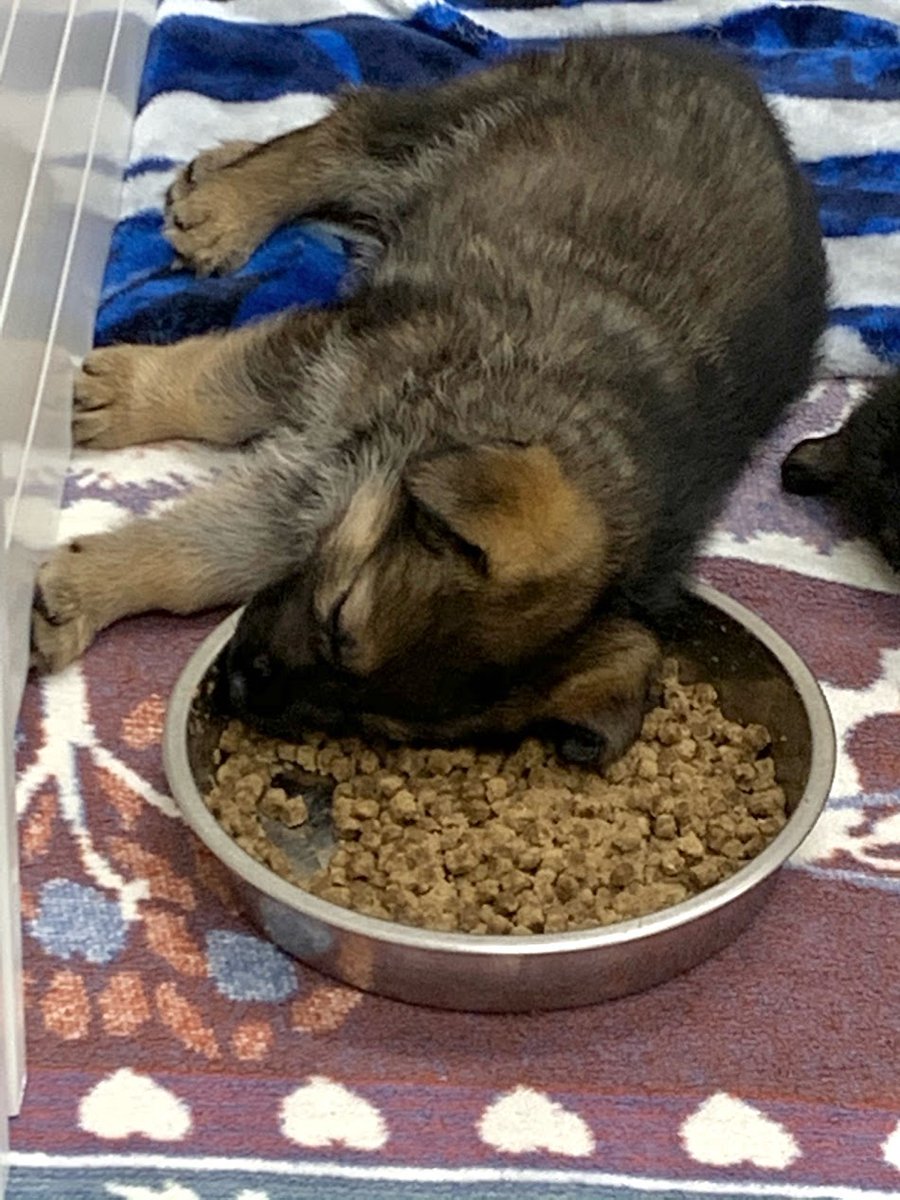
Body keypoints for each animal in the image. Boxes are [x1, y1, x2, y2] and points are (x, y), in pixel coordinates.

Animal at [30, 44, 830, 768]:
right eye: (338, 616)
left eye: (382, 725)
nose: (235, 691)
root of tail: (737, 76)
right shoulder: (342, 357)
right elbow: (220, 393)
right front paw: (117, 408)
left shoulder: (329, 476)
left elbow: (213, 551)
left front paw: (85, 587)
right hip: (457, 122)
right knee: (351, 126)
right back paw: (226, 204)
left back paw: (222, 166)